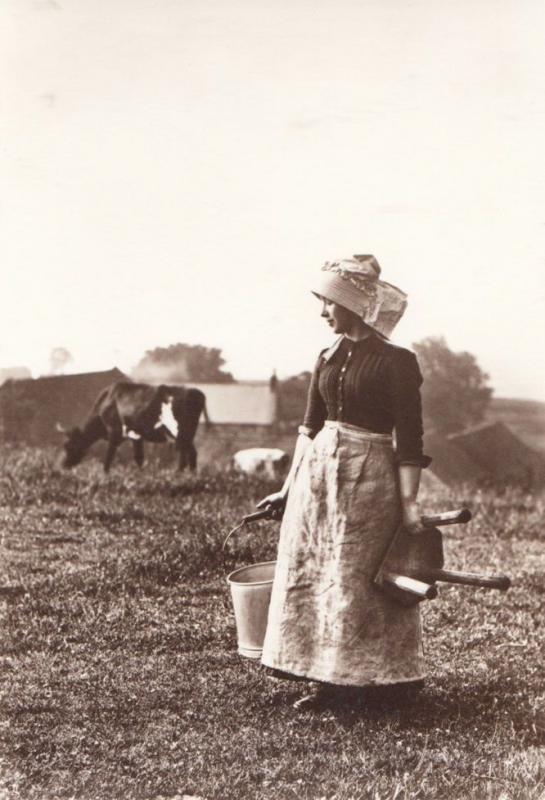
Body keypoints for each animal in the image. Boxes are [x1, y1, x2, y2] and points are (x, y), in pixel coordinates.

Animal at [58, 382, 209, 472]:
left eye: (67, 445)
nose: (63, 465)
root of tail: (195, 391)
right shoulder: (136, 436)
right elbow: (139, 458)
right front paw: (141, 473)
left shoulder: (114, 431)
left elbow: (109, 456)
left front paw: (105, 474)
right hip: (187, 433)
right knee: (191, 453)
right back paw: (189, 474)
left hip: (179, 431)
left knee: (186, 453)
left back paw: (180, 473)